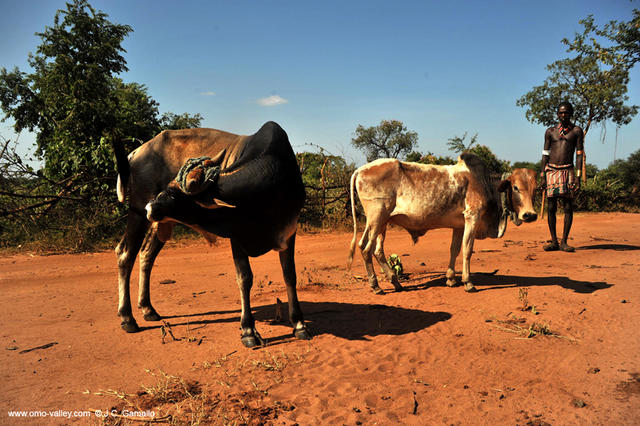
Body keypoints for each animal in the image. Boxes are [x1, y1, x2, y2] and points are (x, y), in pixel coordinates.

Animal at [348, 152, 536, 292]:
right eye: (515, 187)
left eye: (535, 188)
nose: (530, 215)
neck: (486, 184)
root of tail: (360, 170)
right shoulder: (472, 217)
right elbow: (467, 250)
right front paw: (468, 282)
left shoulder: (459, 225)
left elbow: (454, 250)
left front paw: (451, 279)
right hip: (377, 217)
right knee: (365, 248)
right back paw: (376, 286)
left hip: (383, 222)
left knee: (377, 250)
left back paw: (396, 282)